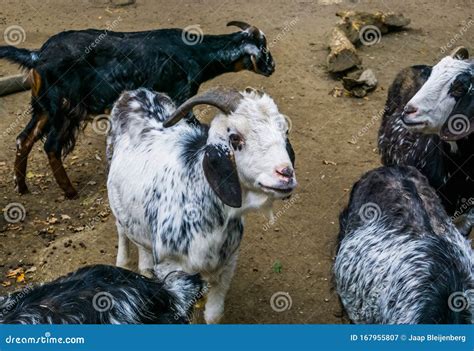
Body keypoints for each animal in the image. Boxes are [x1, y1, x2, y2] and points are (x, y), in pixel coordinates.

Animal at [0, 20, 274, 199]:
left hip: (44, 108)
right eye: (263, 49)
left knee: (23, 139)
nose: (272, 67)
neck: (194, 51)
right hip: (64, 109)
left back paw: (22, 187)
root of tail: (37, 55)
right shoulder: (181, 97)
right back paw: (70, 192)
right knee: (51, 146)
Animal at [107, 86, 296, 324]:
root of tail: (136, 92)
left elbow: (213, 315)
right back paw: (122, 262)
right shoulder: (173, 269)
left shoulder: (227, 264)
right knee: (121, 228)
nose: (286, 174)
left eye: (284, 133)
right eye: (235, 137)